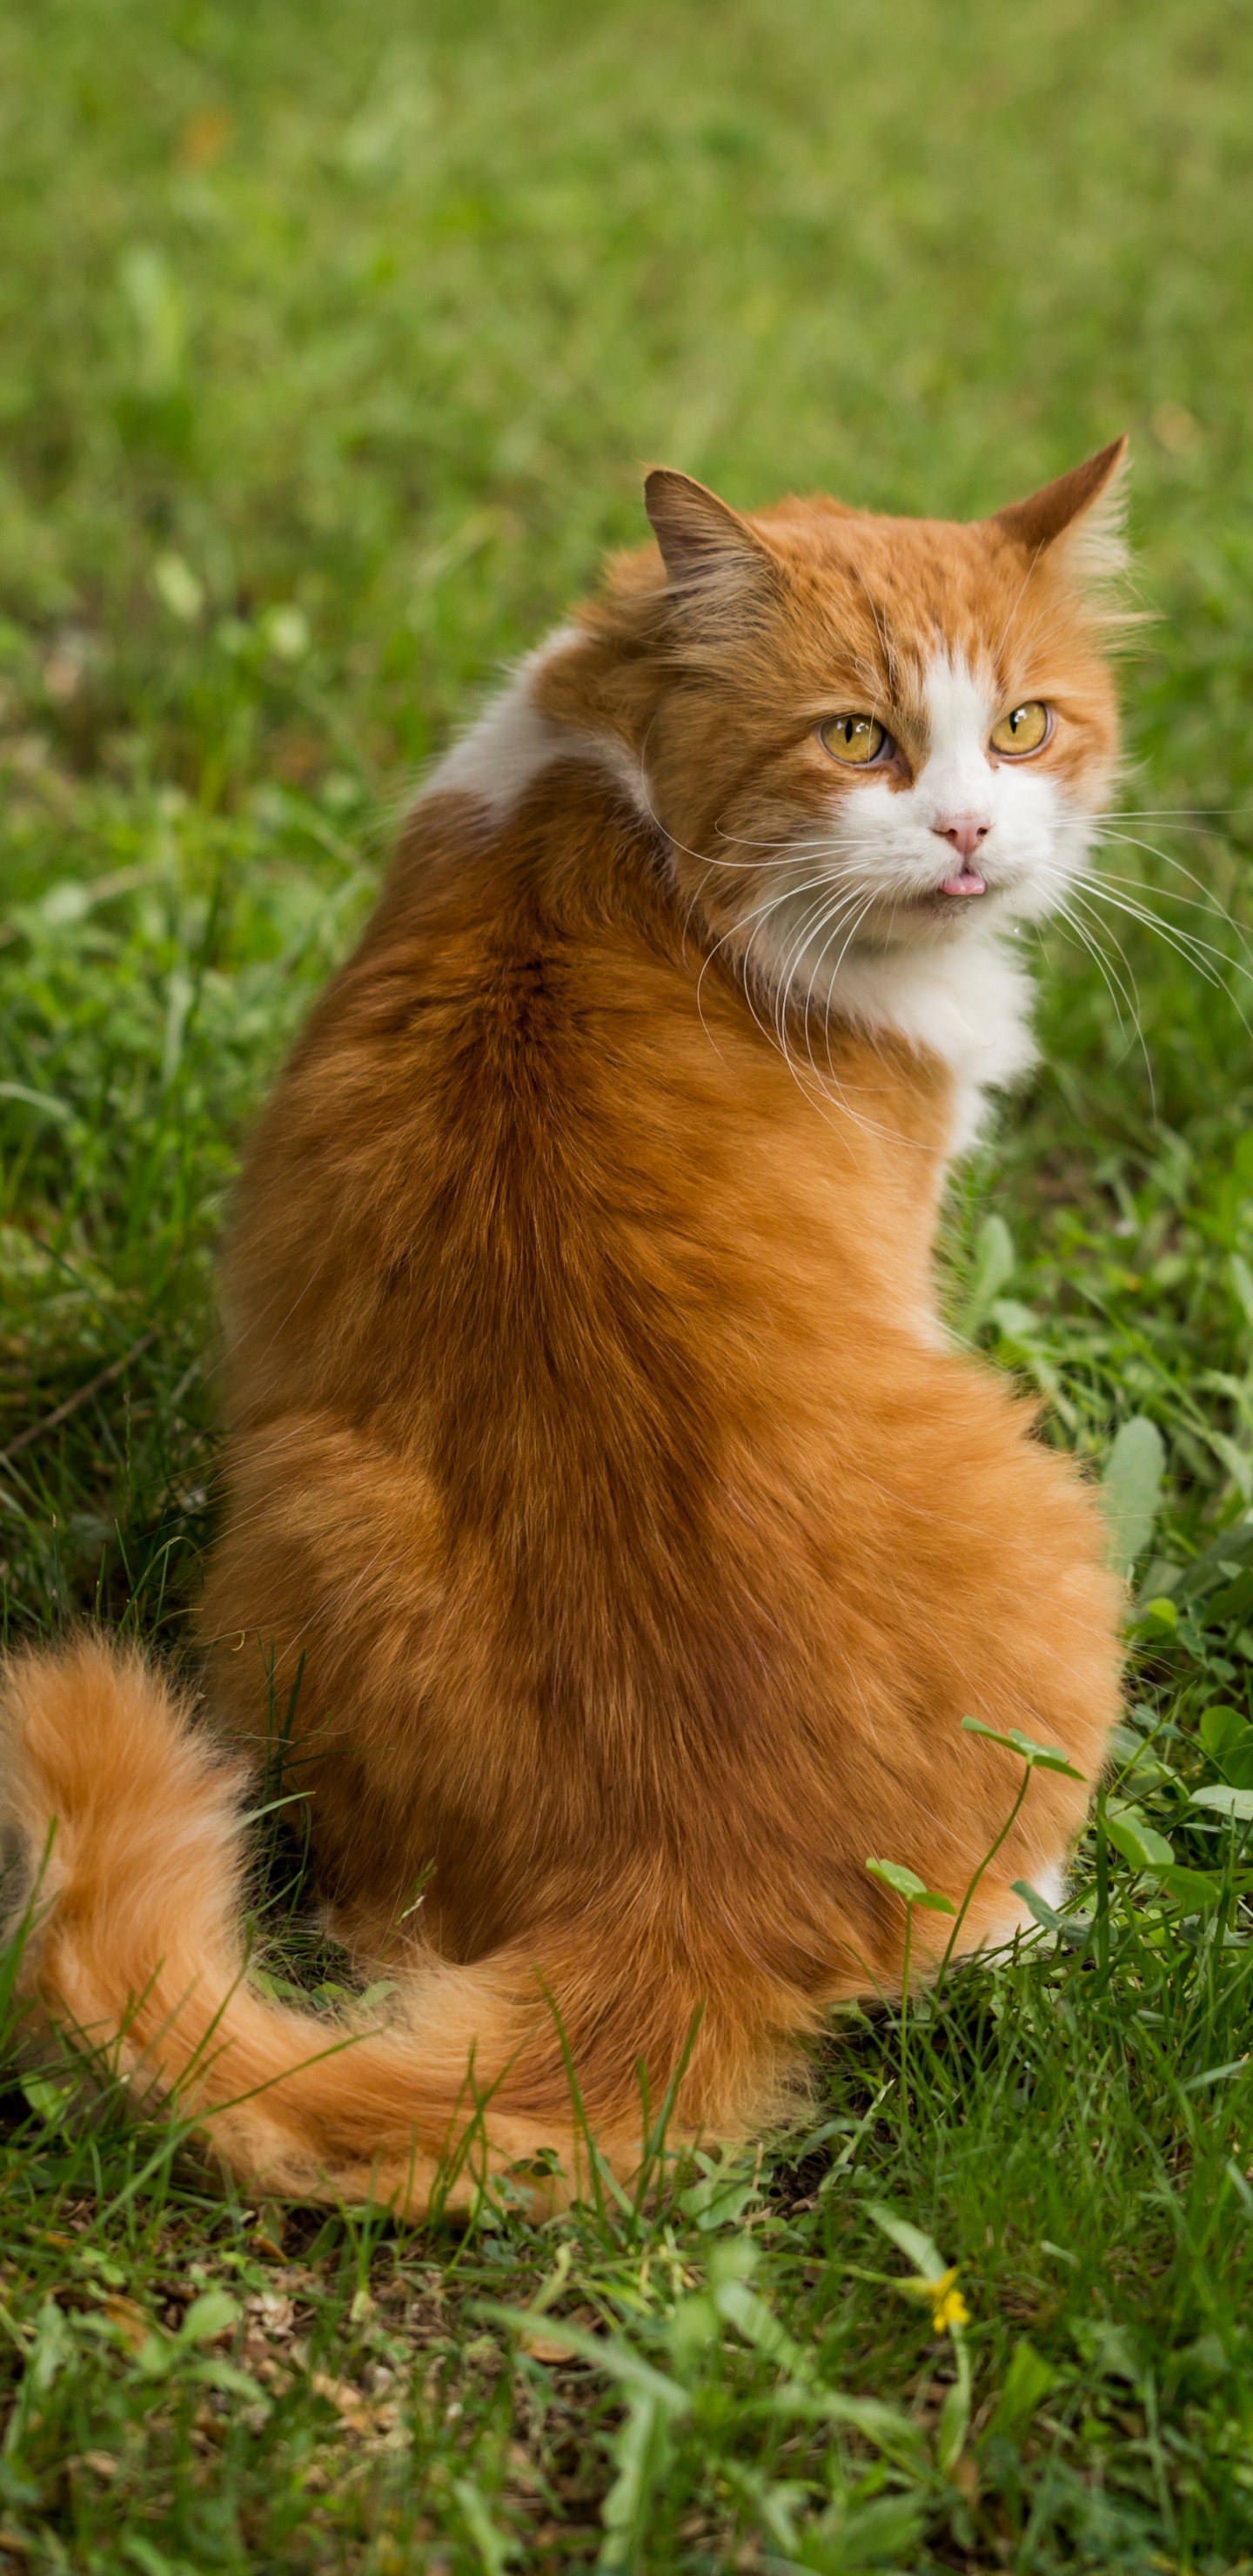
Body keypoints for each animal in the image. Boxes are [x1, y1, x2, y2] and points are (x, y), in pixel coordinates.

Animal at [0, 448, 1123, 2215]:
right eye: (856, 739)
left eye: (1022, 725)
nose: (966, 832)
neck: (624, 808)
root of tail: (690, 1878)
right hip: (1053, 1502)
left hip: (295, 1520)